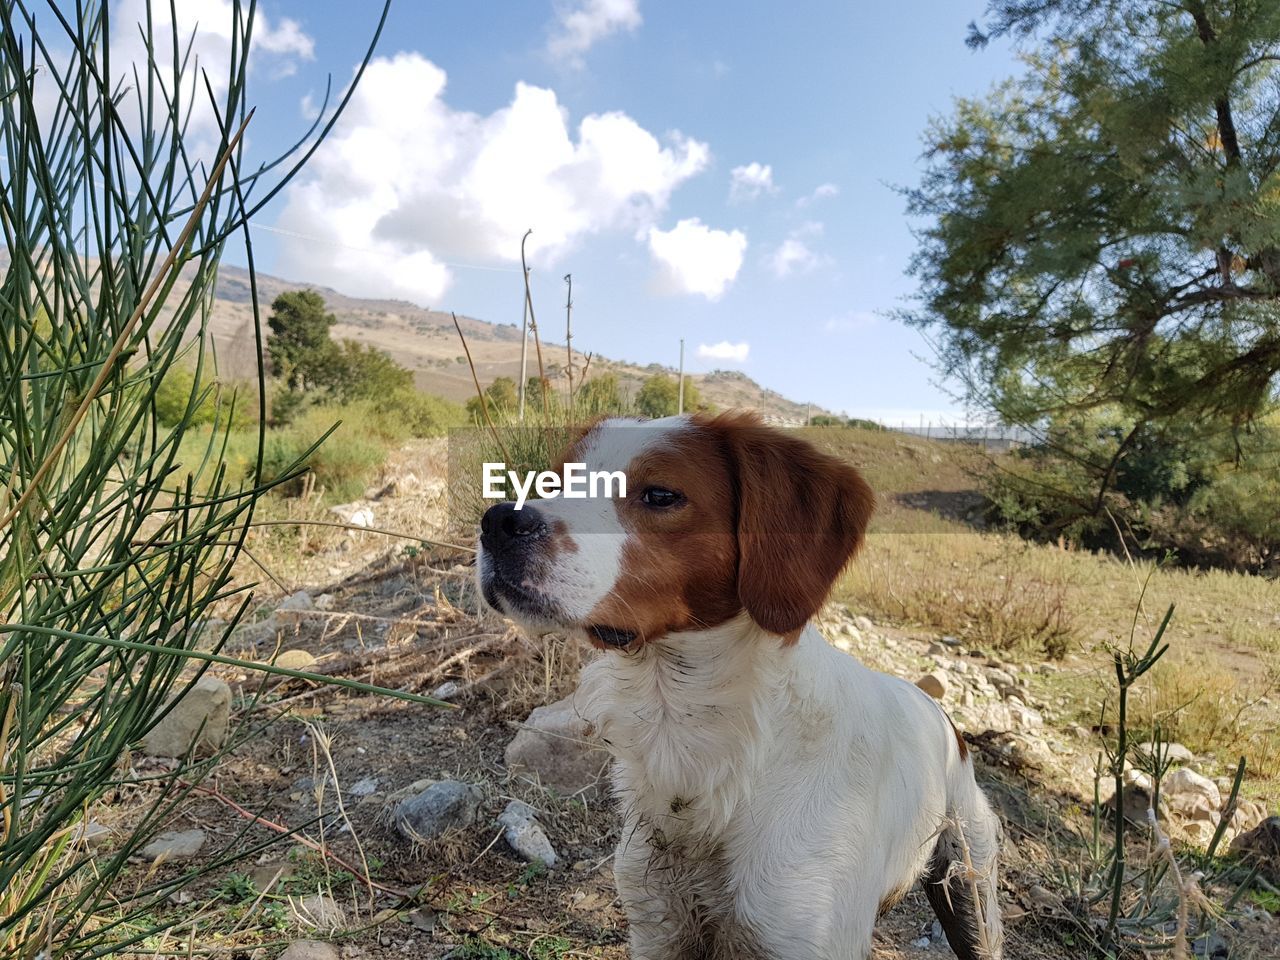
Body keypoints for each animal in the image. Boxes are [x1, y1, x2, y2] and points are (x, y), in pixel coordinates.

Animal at [476, 414, 1003, 960]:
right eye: (553, 482)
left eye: (661, 495)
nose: (498, 521)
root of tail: (939, 713)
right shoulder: (659, 928)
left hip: (971, 884)